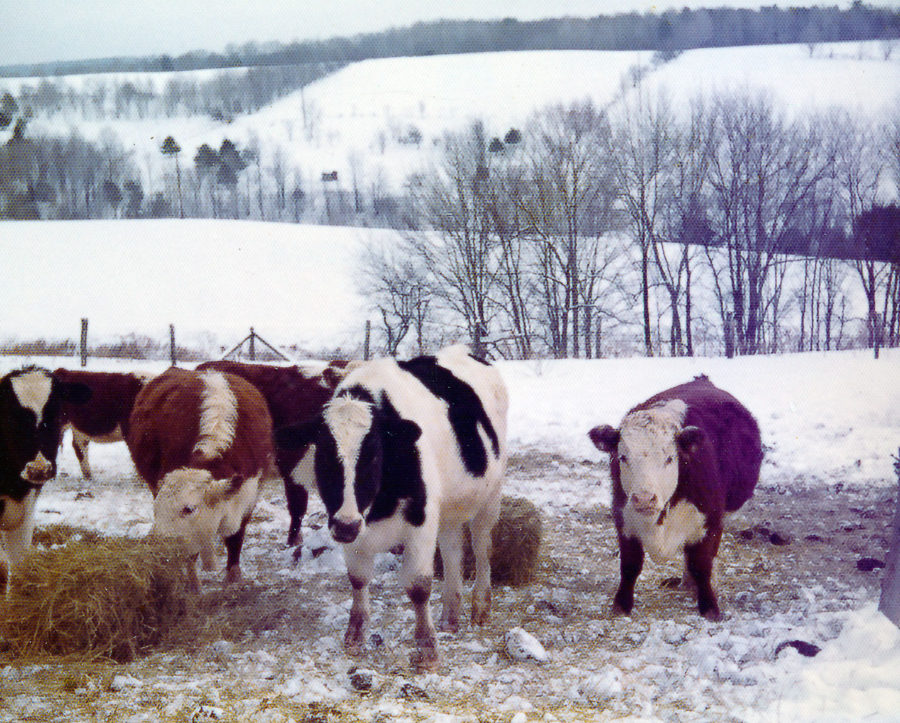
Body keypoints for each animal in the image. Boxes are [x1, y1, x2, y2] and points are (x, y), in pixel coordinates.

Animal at [125, 368, 276, 584]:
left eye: (189, 509)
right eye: (156, 509)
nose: (158, 549)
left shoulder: (250, 495)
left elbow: (236, 537)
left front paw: (233, 577)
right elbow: (190, 556)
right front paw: (193, 585)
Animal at [276, 346, 506, 672]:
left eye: (374, 454)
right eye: (324, 455)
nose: (346, 525)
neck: (378, 506)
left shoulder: (421, 522)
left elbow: (419, 586)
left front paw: (427, 650)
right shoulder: (352, 528)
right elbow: (358, 579)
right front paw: (355, 636)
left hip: (490, 496)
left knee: (482, 548)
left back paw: (480, 609)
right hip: (448, 507)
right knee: (452, 551)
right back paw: (450, 616)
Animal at [588, 376, 764, 620]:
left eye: (670, 458)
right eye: (622, 457)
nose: (644, 499)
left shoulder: (709, 520)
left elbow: (702, 564)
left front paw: (709, 606)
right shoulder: (623, 518)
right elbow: (630, 565)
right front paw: (621, 605)